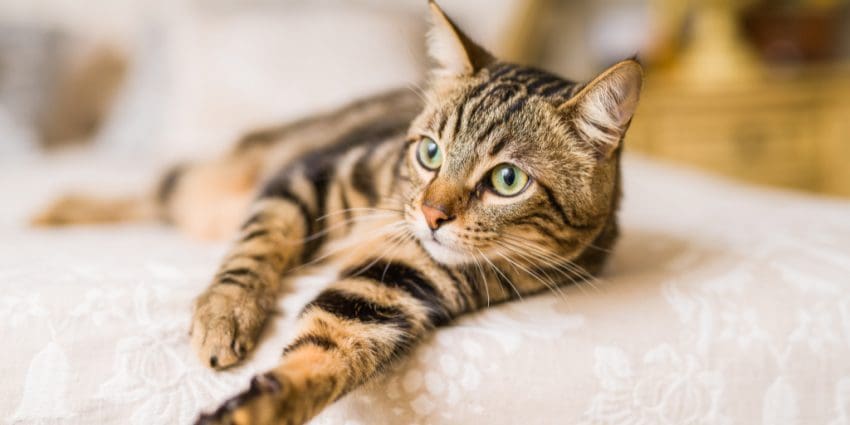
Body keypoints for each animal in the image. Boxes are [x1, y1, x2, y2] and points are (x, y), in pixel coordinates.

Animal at [34, 1, 644, 422]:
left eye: (507, 180)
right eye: (430, 152)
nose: (431, 215)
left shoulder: (389, 290)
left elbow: (325, 350)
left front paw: (259, 405)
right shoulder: (306, 179)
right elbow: (255, 248)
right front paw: (226, 314)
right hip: (224, 178)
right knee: (161, 189)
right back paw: (54, 212)